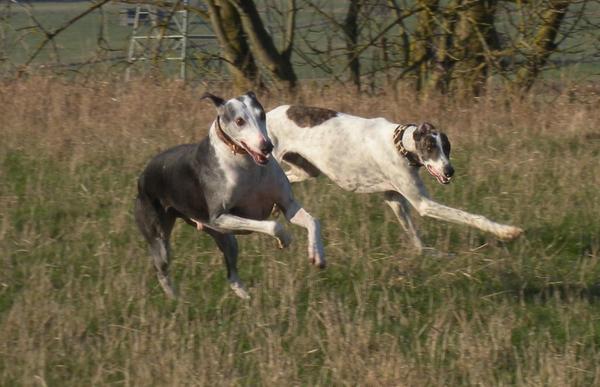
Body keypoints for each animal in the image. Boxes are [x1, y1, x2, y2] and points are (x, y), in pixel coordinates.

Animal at [134, 93, 326, 300]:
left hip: (226, 239)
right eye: (239, 121)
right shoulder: (220, 217)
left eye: (262, 115)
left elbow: (313, 221)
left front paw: (317, 254)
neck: (247, 165)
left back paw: (246, 298)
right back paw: (175, 299)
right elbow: (273, 225)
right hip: (160, 239)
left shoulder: (287, 204)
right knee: (161, 271)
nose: (267, 146)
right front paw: (284, 239)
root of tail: (143, 175)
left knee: (232, 275)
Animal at [264, 105, 524, 255]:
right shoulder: (423, 203)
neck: (400, 144)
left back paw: (277, 208)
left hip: (306, 170)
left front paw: (428, 254)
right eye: (430, 148)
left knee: (289, 181)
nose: (450, 170)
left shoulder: (395, 199)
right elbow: (470, 216)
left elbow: (415, 237)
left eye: (447, 147)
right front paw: (507, 231)